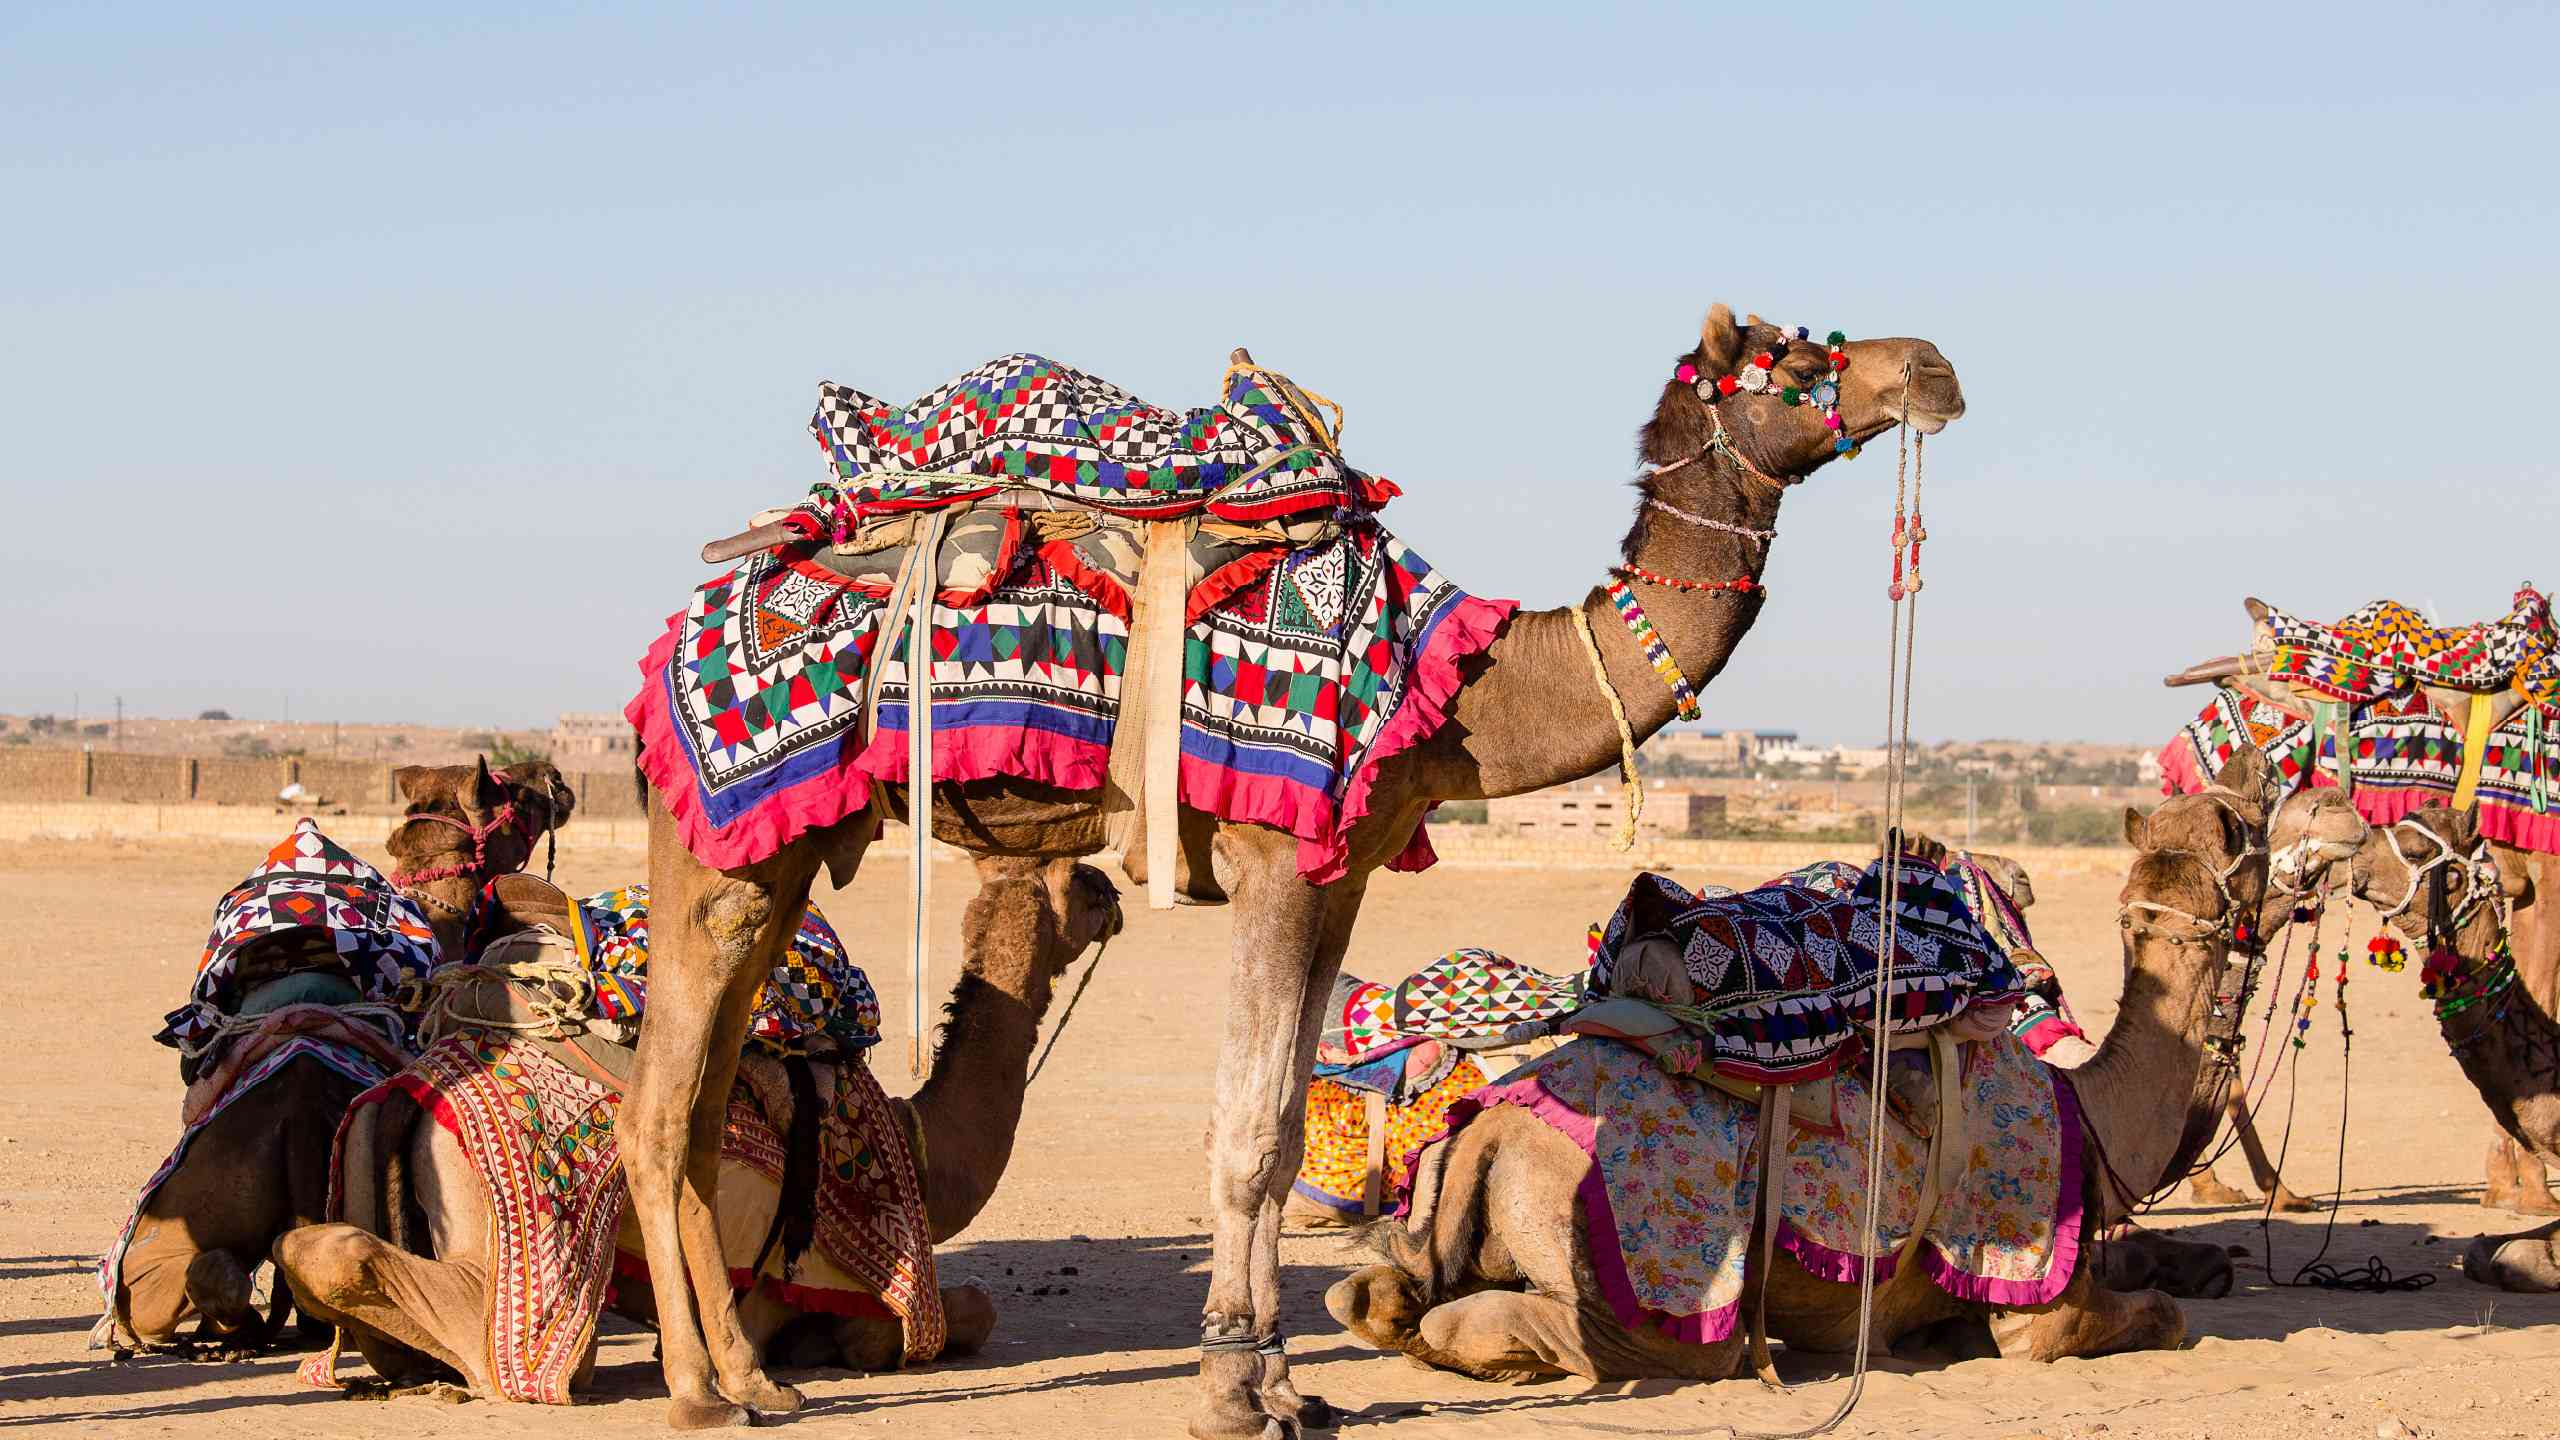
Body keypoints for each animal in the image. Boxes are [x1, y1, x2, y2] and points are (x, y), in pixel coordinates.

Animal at [99, 759, 572, 1358]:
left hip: (165, 1247)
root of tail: (296, 1123)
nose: (557, 778)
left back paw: (230, 1335)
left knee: (213, 1274)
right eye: (512, 790)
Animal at [273, 857, 1121, 1395]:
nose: (1114, 891)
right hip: (505, 1243)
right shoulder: (851, 1289)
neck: (921, 1150)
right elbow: (958, 1315)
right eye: (1079, 880)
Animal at [614, 307, 1963, 1433]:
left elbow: (1269, 1124)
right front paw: (1229, 1390)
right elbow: (1252, 1132)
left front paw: (1283, 1389)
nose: (1933, 368)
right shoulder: (1278, 861)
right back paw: (696, 1393)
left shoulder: (1343, 869)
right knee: (660, 1104)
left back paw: (755, 1380)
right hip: (716, 839)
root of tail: (683, 626)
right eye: (1796, 357)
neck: (1466, 687)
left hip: (776, 855)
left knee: (706, 1098)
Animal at [1320, 763, 2345, 1382]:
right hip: (1647, 1284)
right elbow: (2161, 1315)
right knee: (1525, 1330)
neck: (2092, 1118)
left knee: (1366, 1296)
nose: (2327, 823)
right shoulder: (2035, 1300)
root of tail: (1490, 1127)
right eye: (2256, 830)